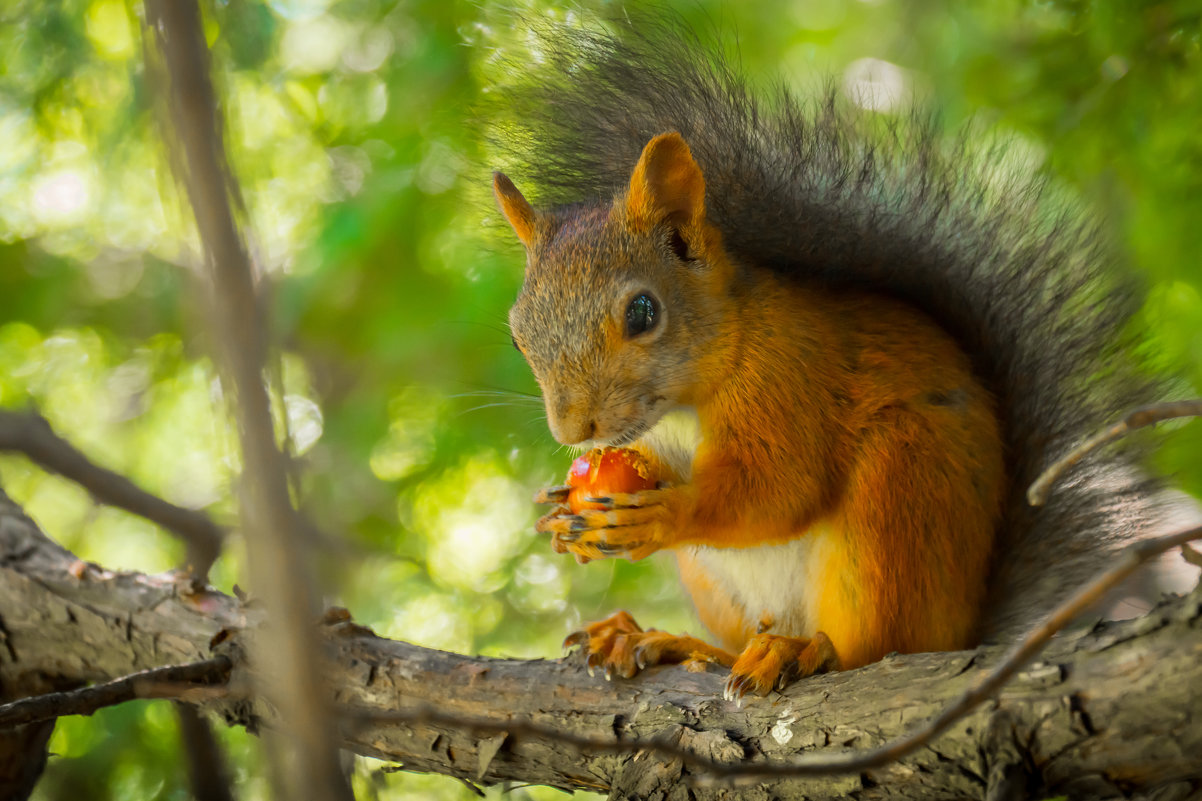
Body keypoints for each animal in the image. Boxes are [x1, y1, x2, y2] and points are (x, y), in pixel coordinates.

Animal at [488, 15, 1173, 697]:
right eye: (517, 333)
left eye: (642, 313)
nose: (574, 430)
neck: (690, 393)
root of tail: (964, 629)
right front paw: (559, 514)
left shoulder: (788, 377)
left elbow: (780, 487)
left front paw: (663, 513)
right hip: (721, 585)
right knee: (733, 644)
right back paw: (662, 640)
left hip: (899, 490)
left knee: (874, 647)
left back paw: (801, 652)